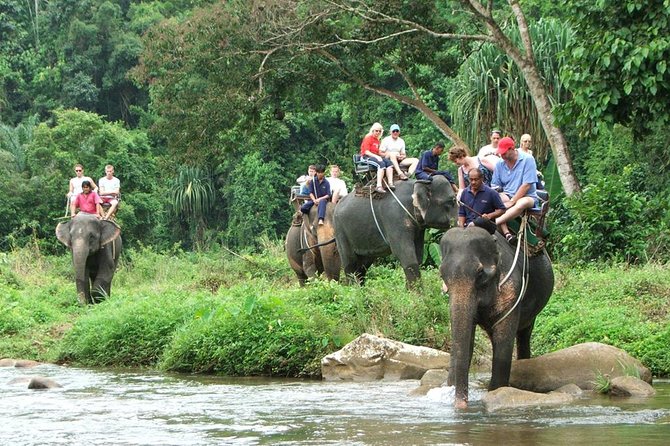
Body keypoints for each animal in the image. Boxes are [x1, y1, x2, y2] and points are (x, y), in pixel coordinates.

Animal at [440, 226, 556, 408]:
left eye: (480, 273)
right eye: (441, 274)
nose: (461, 405)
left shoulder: (512, 287)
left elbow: (503, 340)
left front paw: (495, 391)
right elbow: (467, 338)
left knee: (524, 333)